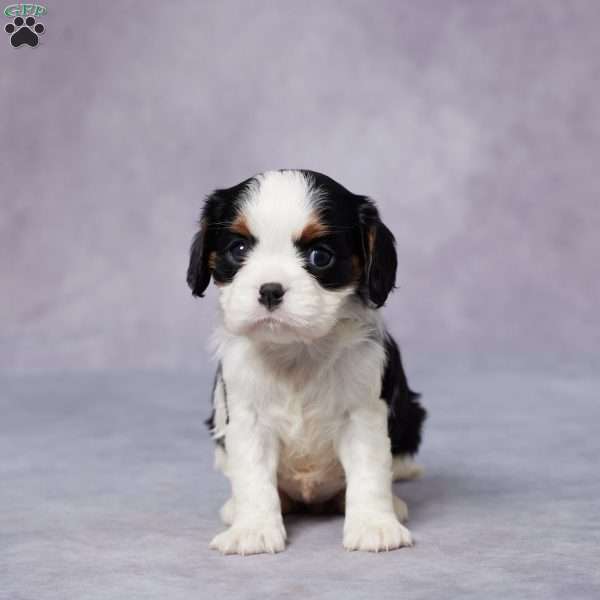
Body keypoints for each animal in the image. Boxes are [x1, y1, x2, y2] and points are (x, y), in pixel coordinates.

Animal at [188, 168, 426, 552]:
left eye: (320, 257)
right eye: (238, 250)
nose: (270, 290)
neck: (295, 351)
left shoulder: (363, 413)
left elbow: (370, 471)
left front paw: (374, 525)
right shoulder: (247, 418)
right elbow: (253, 476)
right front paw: (253, 528)